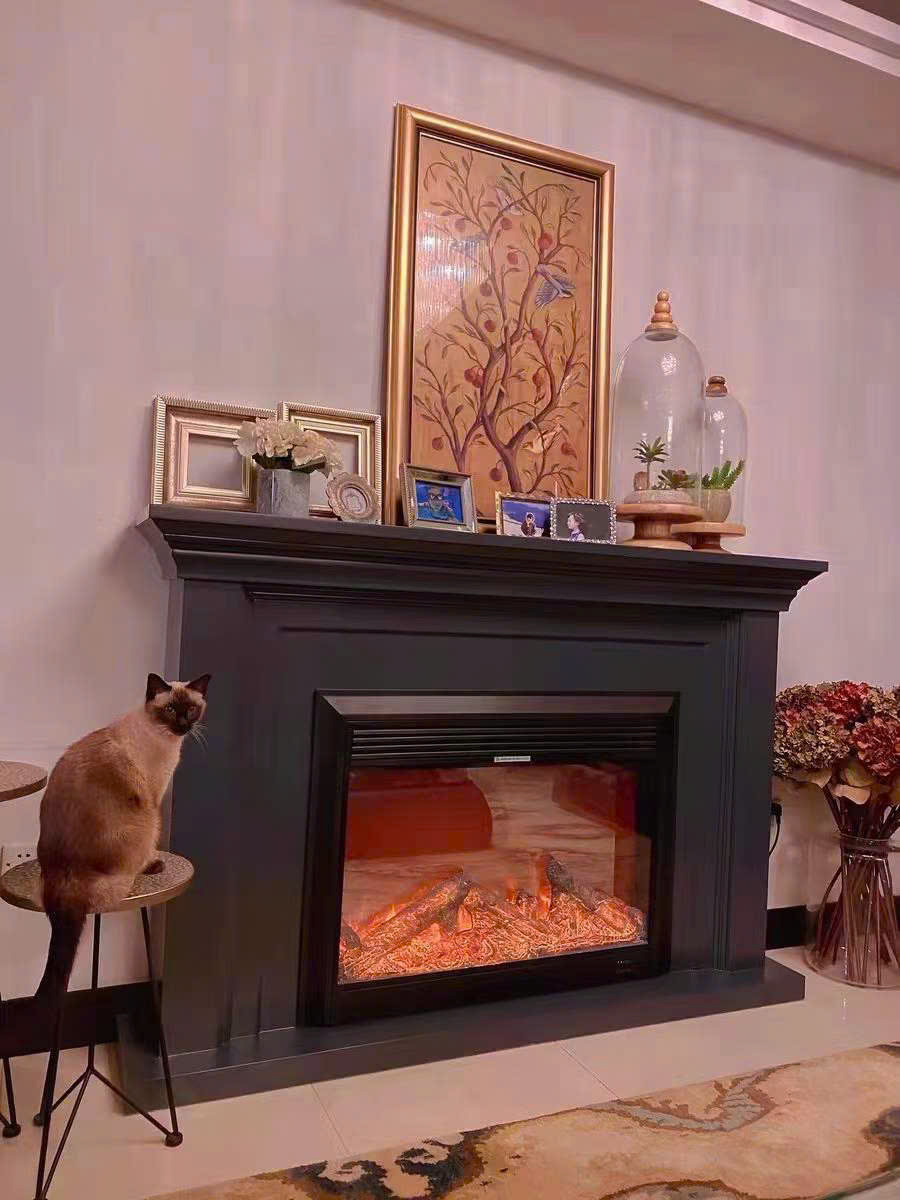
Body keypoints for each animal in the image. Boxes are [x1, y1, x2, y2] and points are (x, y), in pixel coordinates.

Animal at [35, 672, 210, 1001]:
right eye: (170, 710)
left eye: (191, 709)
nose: (183, 725)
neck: (165, 738)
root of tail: (65, 869)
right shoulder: (154, 798)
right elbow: (153, 846)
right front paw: (154, 861)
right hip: (148, 818)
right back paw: (150, 866)